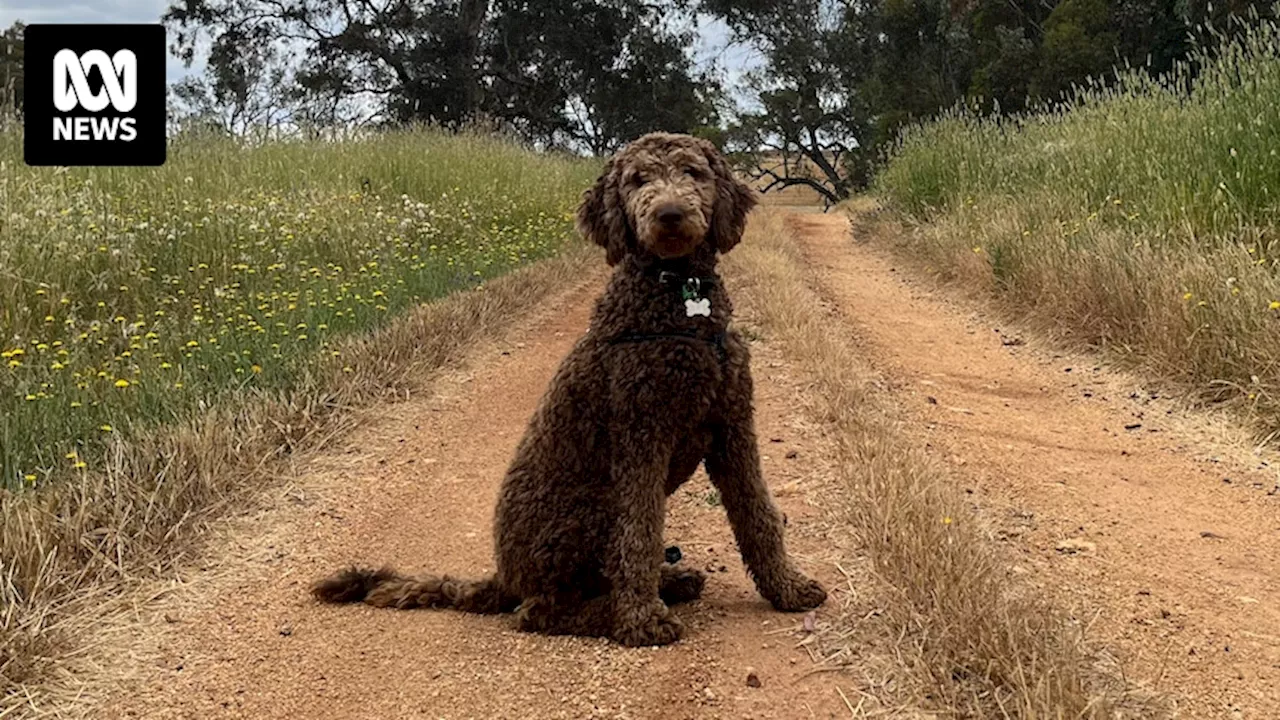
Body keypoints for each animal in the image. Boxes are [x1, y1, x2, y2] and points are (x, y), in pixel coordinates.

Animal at [314, 128, 824, 645]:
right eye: (638, 180)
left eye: (692, 172)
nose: (669, 214)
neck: (677, 301)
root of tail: (505, 578)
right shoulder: (640, 437)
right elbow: (640, 534)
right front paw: (642, 619)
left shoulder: (732, 427)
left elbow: (759, 514)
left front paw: (788, 587)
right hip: (589, 511)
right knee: (543, 610)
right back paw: (616, 611)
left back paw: (671, 580)